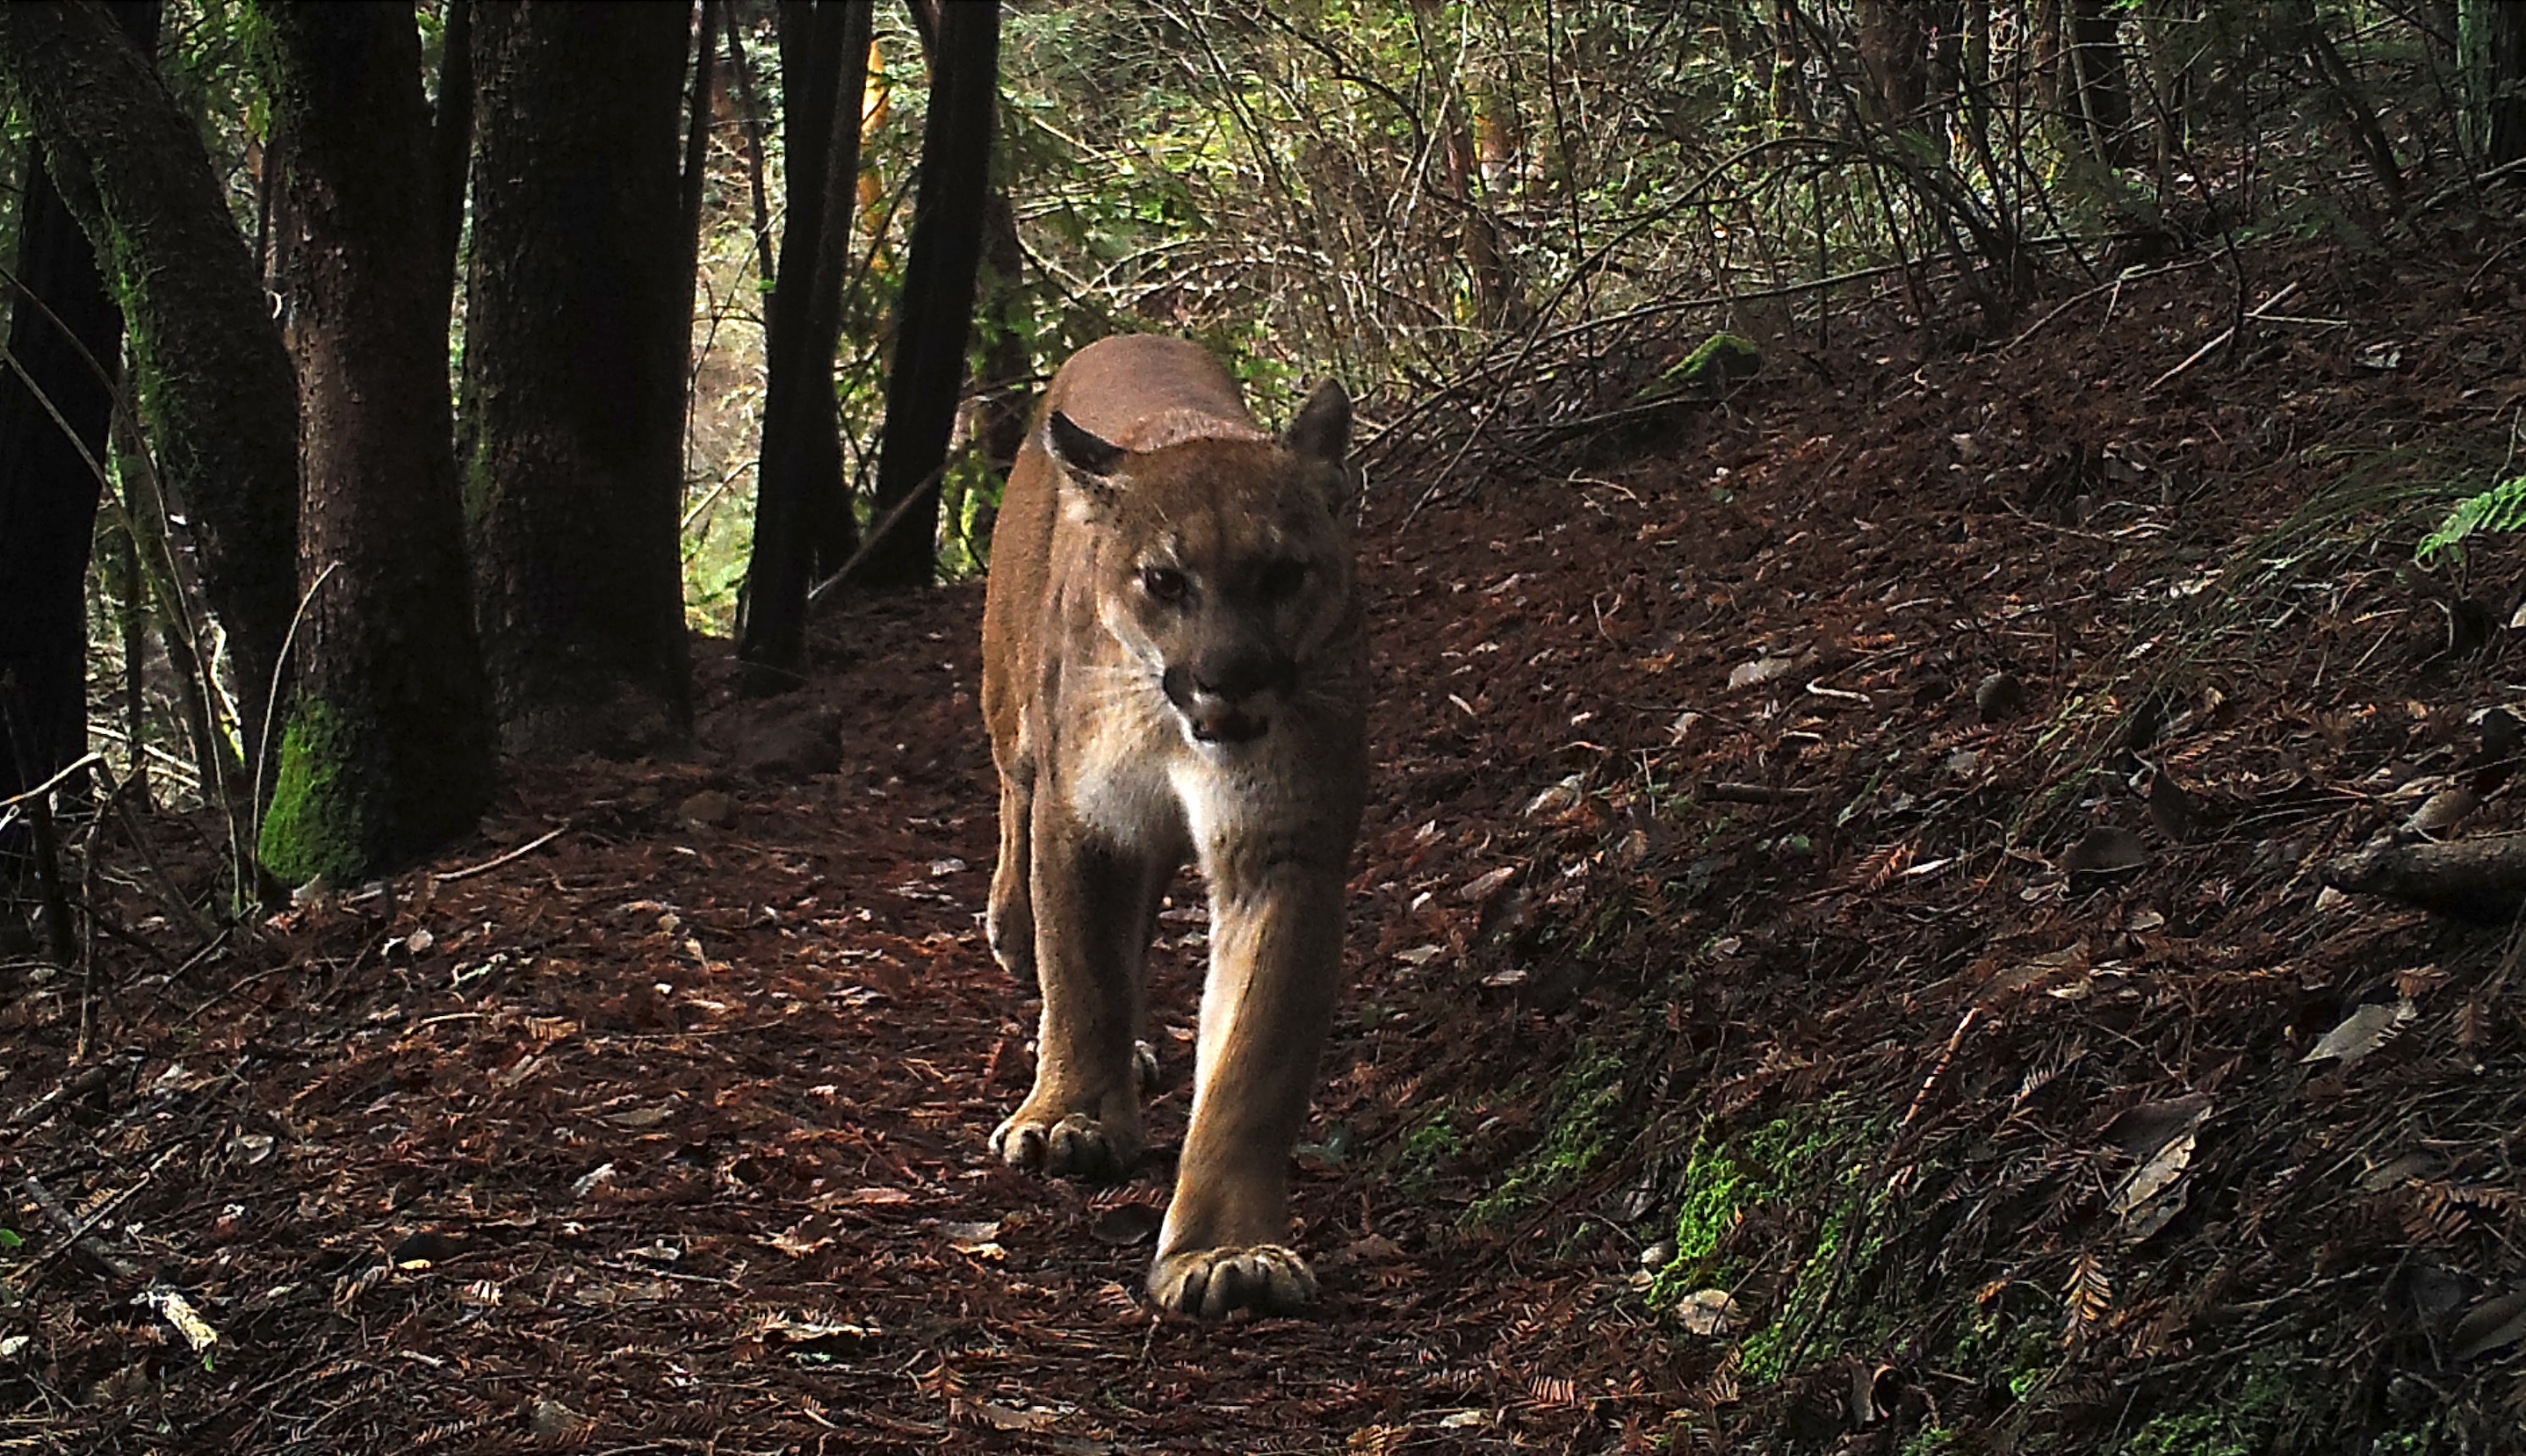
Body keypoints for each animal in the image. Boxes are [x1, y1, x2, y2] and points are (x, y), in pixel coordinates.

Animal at [979, 335, 1374, 1314]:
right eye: (1164, 581)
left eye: (1282, 574)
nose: (1228, 677)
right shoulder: (1087, 819)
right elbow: (1081, 971)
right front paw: (1068, 1117)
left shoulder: (1281, 848)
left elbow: (1251, 1060)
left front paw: (1223, 1250)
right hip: (1010, 700)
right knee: (1013, 793)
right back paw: (1012, 930)